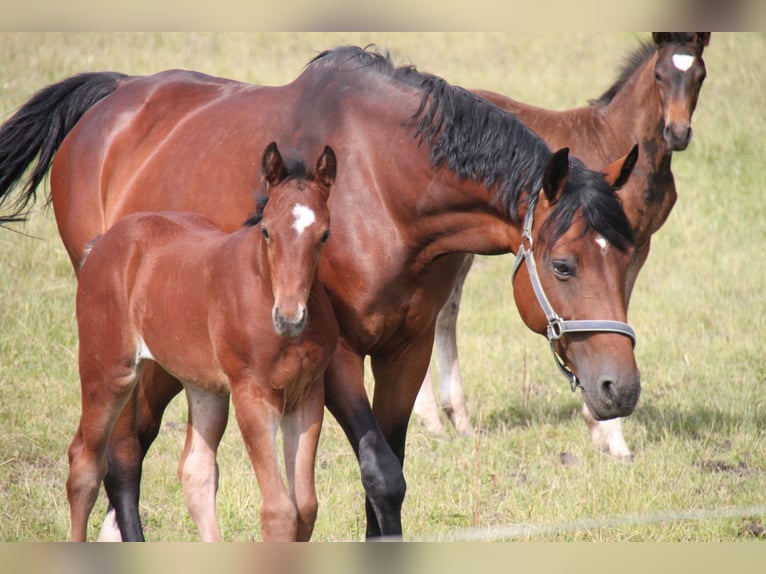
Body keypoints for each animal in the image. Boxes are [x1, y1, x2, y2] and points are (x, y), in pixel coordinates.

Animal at [66, 142, 339, 541]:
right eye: (267, 232)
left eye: (324, 235)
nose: (290, 317)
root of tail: (105, 241)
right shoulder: (252, 395)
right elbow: (279, 511)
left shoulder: (307, 396)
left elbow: (305, 507)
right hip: (109, 372)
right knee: (84, 465)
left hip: (204, 388)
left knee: (196, 473)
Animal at [414, 32, 711, 458]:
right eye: (659, 75)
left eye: (700, 76)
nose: (678, 132)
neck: (618, 140)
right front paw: (609, 434)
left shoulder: (635, 248)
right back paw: (434, 418)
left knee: (444, 311)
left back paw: (456, 418)